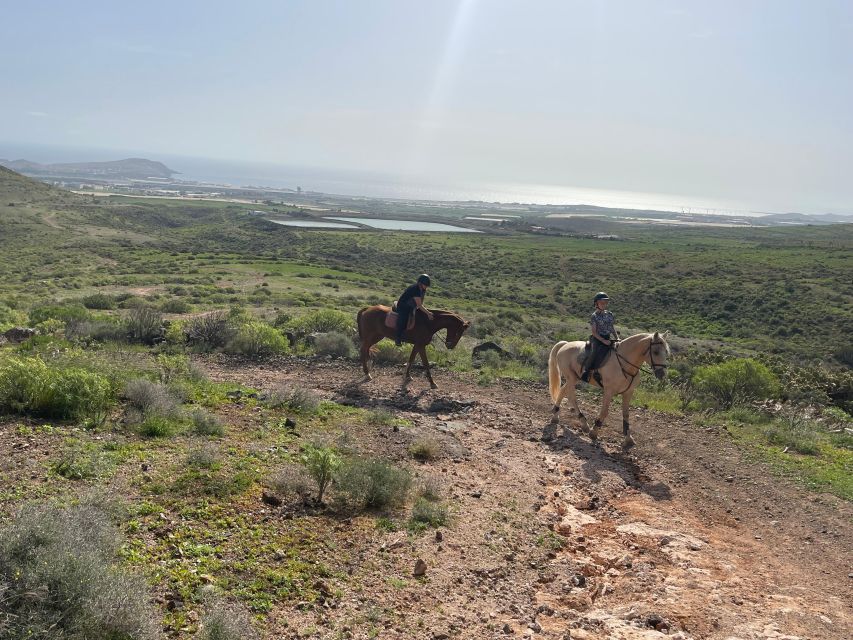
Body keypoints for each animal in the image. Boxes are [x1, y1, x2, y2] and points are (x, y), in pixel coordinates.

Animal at [544, 336, 672, 450]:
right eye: (655, 352)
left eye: (666, 352)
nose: (662, 374)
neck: (625, 364)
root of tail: (565, 344)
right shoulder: (608, 391)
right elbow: (604, 412)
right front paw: (594, 432)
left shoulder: (628, 393)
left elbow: (626, 415)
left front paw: (628, 438)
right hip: (572, 378)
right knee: (570, 395)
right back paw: (581, 423)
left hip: (574, 378)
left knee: (563, 391)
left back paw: (559, 417)